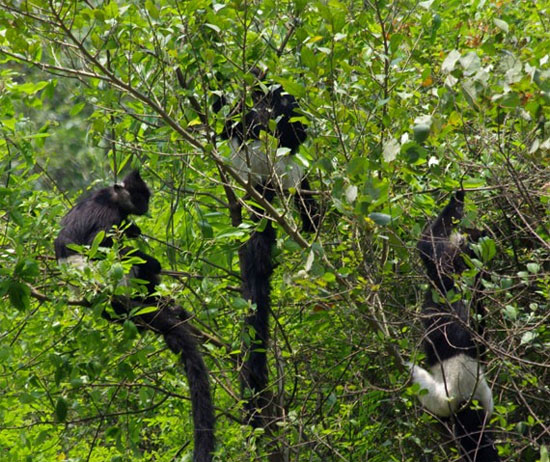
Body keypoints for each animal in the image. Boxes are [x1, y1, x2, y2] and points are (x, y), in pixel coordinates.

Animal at [55, 170, 216, 462]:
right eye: (141, 196)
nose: (145, 206)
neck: (110, 196)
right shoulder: (107, 213)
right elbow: (100, 242)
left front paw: (135, 230)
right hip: (116, 281)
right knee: (132, 262)